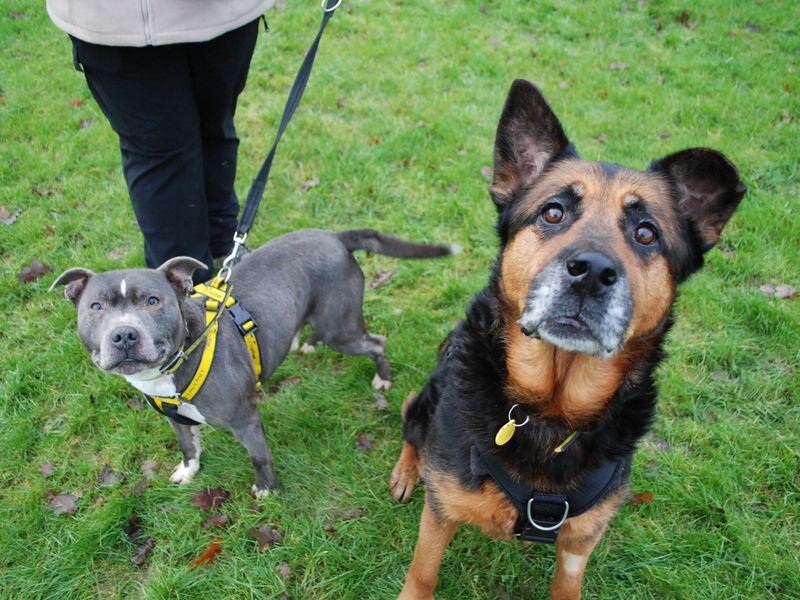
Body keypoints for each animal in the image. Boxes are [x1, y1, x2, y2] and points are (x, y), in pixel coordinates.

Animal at [390, 81, 748, 600]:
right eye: (553, 212)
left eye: (646, 233)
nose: (592, 273)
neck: (553, 410)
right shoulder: (441, 511)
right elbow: (422, 573)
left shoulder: (583, 537)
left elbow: (567, 583)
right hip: (426, 404)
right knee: (410, 420)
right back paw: (405, 471)